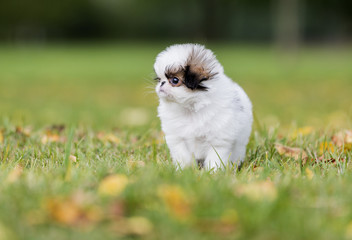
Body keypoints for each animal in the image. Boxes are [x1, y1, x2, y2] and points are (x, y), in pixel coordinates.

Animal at [154, 43, 253, 171]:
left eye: (174, 80)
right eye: (159, 80)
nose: (161, 84)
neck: (191, 108)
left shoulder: (217, 140)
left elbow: (215, 159)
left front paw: (213, 172)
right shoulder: (178, 139)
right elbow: (183, 156)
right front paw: (184, 170)